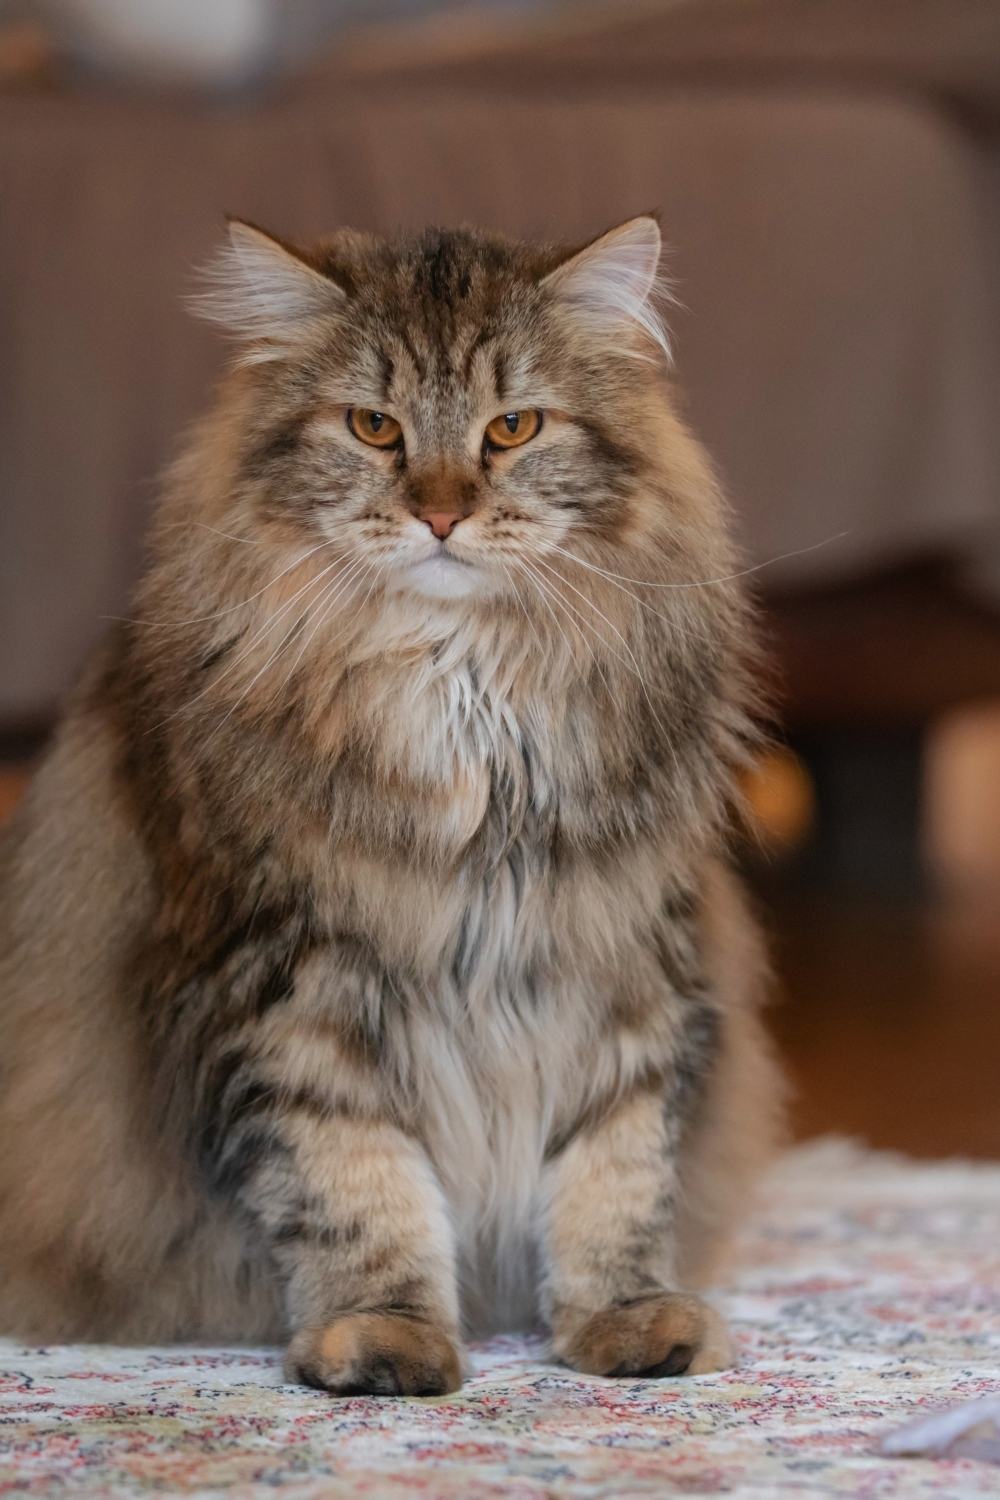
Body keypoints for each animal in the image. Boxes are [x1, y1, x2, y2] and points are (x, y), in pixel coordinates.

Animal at [0, 211, 779, 1392]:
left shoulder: (625, 962)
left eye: (512, 427)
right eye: (374, 428)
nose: (442, 514)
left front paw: (627, 1322)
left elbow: (615, 1175)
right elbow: (357, 1187)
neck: (467, 701)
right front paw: (384, 1339)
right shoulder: (289, 989)